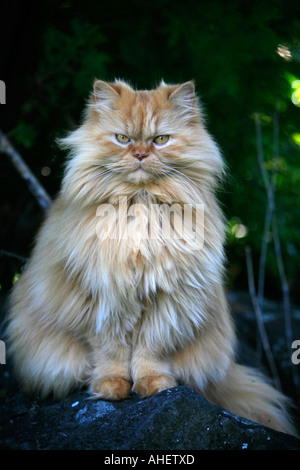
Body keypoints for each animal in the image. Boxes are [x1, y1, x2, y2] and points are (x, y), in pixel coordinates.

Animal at [5, 77, 296, 434]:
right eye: (122, 139)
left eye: (160, 140)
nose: (141, 153)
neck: (141, 206)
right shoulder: (104, 303)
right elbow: (111, 355)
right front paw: (111, 387)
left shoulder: (167, 301)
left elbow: (151, 351)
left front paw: (153, 384)